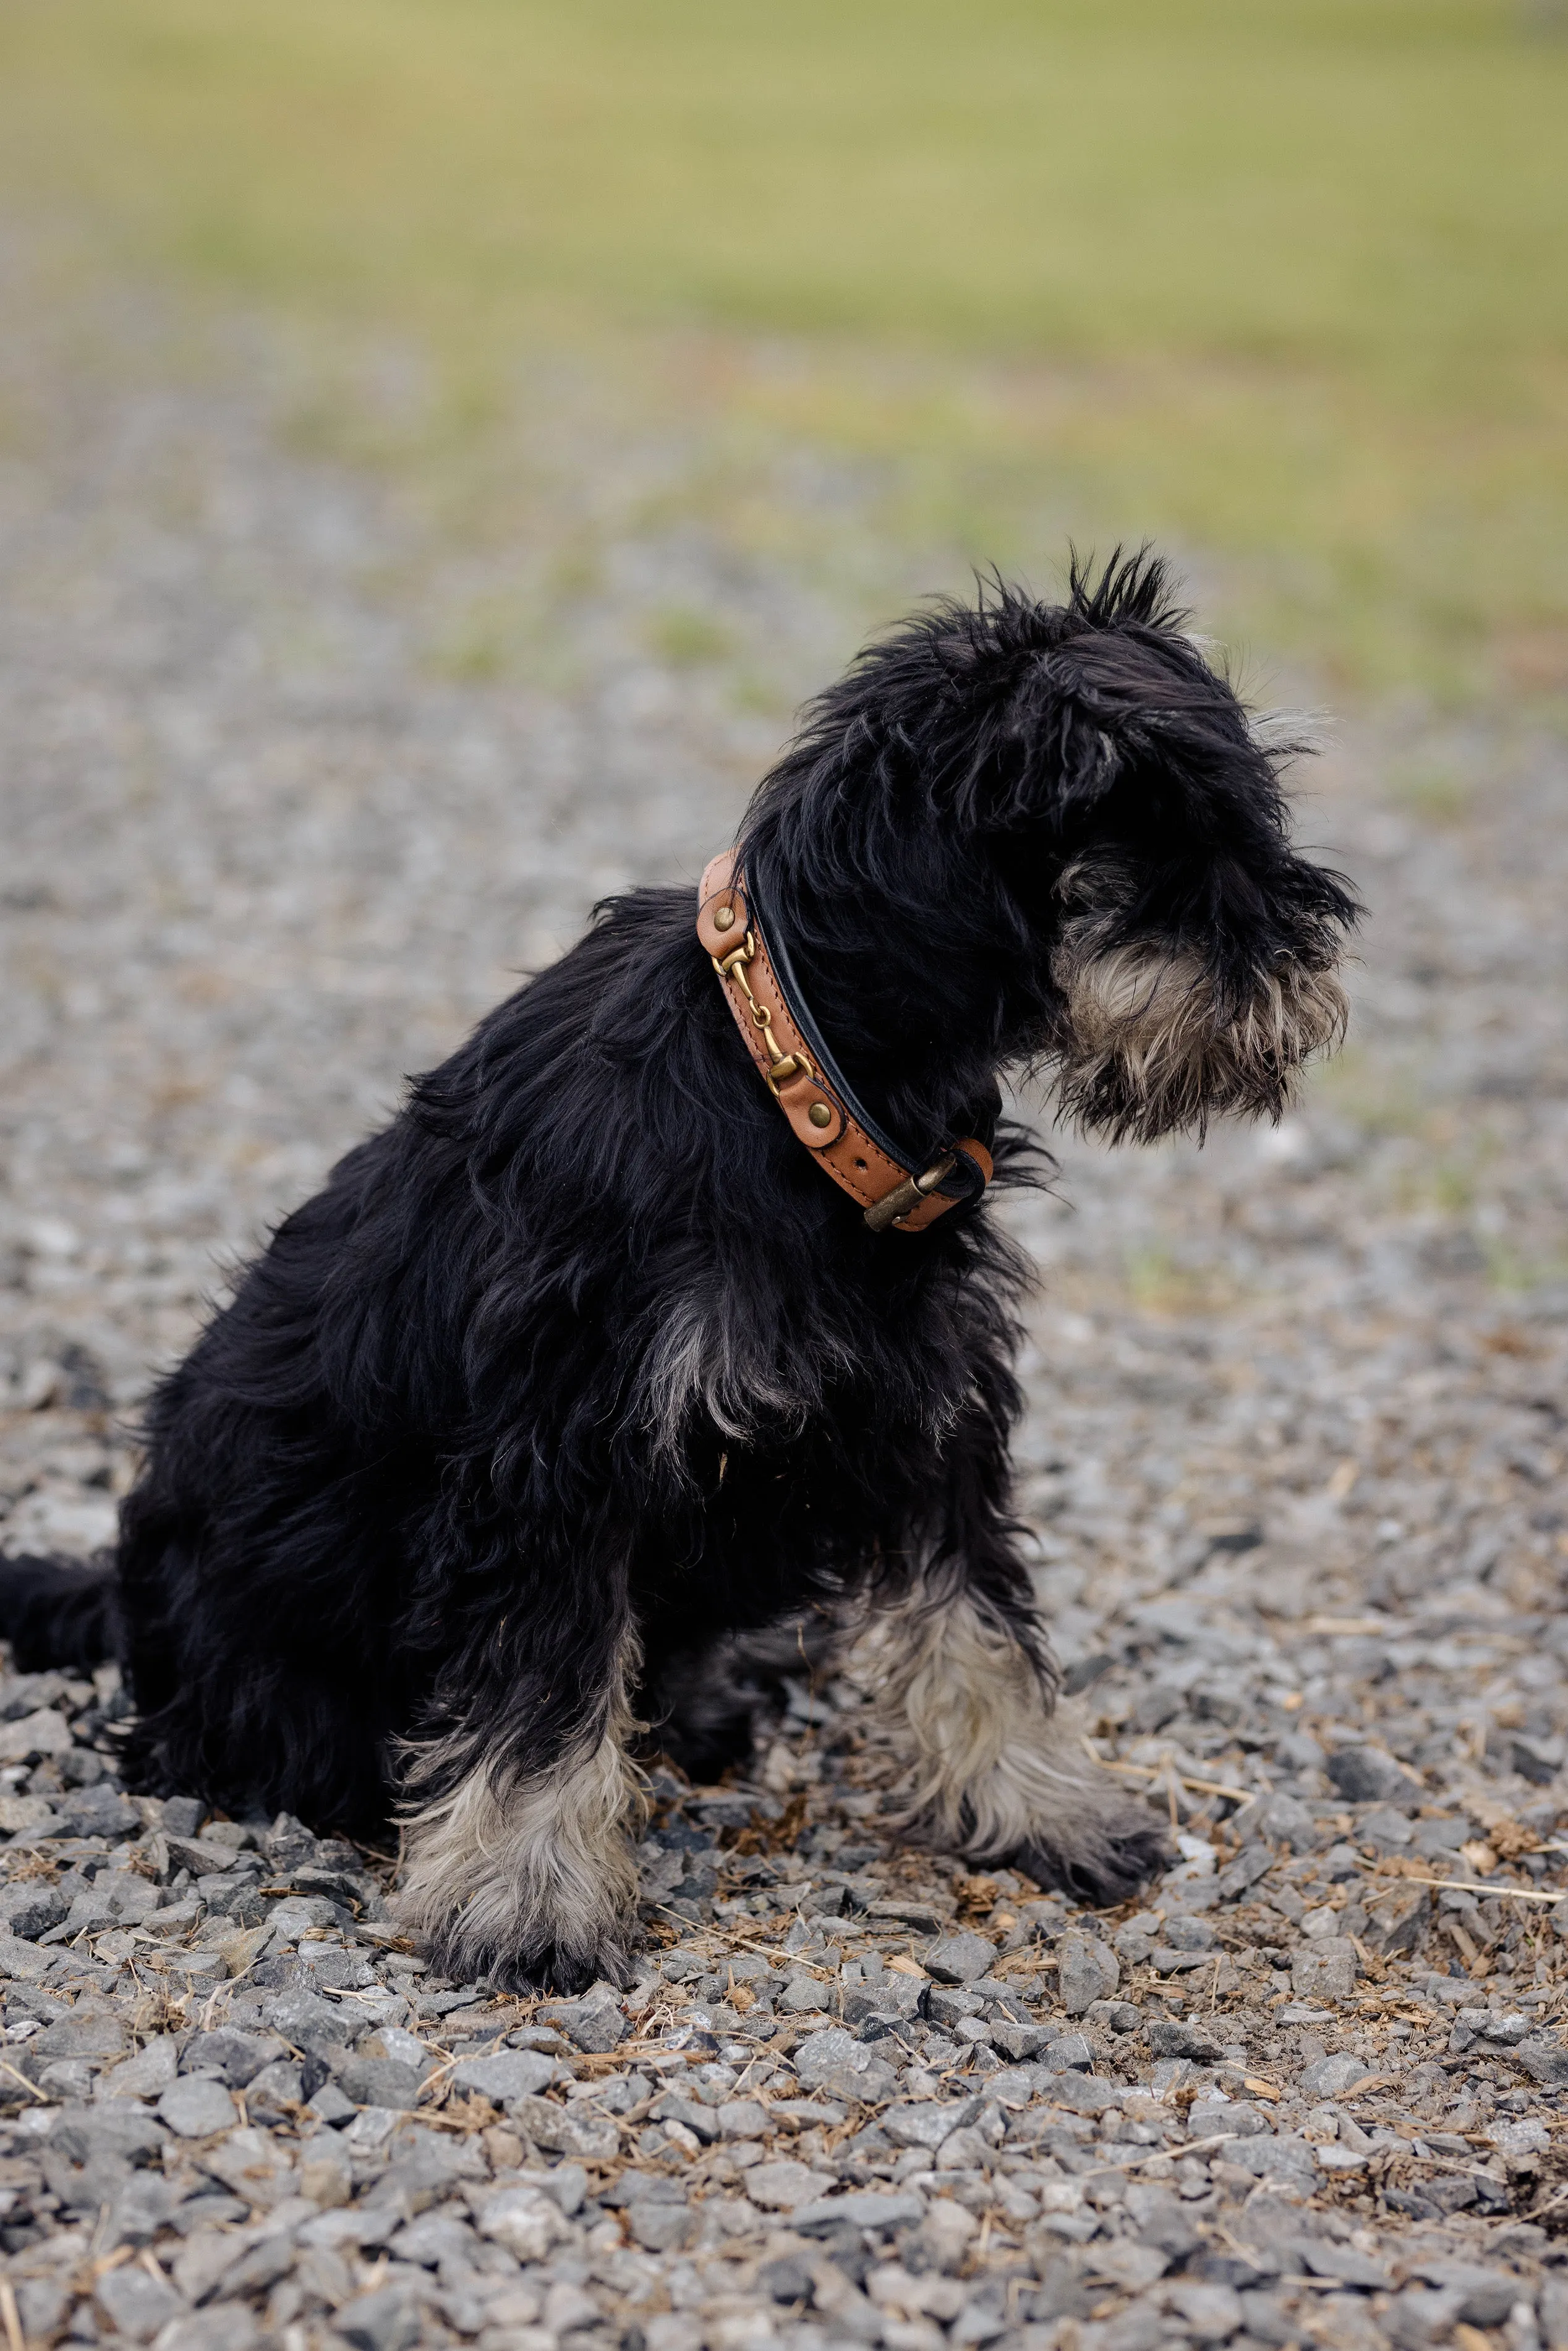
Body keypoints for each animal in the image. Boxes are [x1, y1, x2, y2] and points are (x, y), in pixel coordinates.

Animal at [0, 559, 1354, 1994]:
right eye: (1171, 836)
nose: (1309, 962)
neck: (799, 1077)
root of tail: (120, 1594)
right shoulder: (558, 1457)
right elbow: (541, 1687)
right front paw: (525, 1897)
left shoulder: (928, 1412)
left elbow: (978, 1628)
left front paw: (1047, 1808)